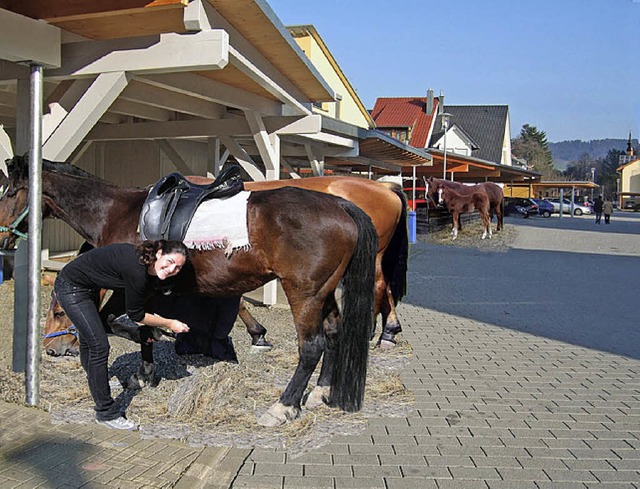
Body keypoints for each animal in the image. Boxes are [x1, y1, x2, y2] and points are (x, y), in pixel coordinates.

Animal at [0, 154, 378, 426]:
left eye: (9, 192)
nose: (52, 350)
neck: (115, 213)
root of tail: (339, 205)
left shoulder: (128, 288)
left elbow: (121, 323)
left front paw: (155, 351)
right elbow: (140, 328)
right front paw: (145, 372)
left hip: (305, 294)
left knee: (311, 346)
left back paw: (284, 405)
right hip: (325, 293)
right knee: (333, 332)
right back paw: (321, 391)